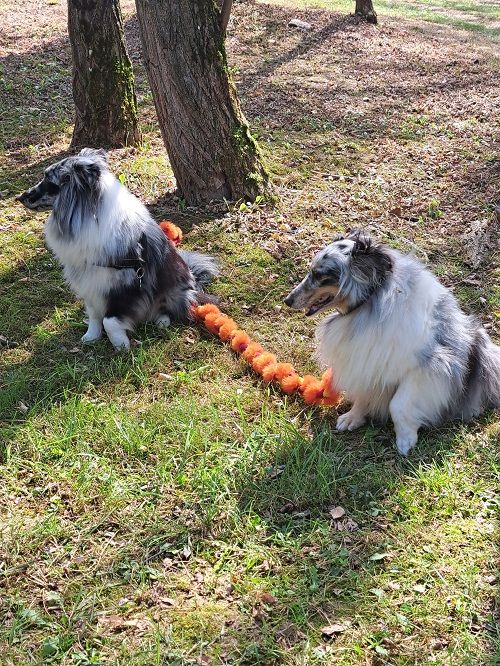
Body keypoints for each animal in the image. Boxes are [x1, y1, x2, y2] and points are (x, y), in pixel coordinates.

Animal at [18, 148, 217, 350]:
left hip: (173, 292)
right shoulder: (90, 283)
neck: (90, 218)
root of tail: (193, 279)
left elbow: (110, 321)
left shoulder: (127, 286)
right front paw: (91, 336)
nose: (21, 197)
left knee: (173, 308)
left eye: (50, 182)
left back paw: (162, 321)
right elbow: (94, 315)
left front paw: (121, 344)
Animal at [286, 231, 500, 454]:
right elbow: (363, 395)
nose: (287, 300)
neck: (369, 305)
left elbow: (398, 405)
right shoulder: (366, 362)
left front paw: (405, 440)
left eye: (320, 275)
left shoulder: (427, 369)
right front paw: (353, 417)